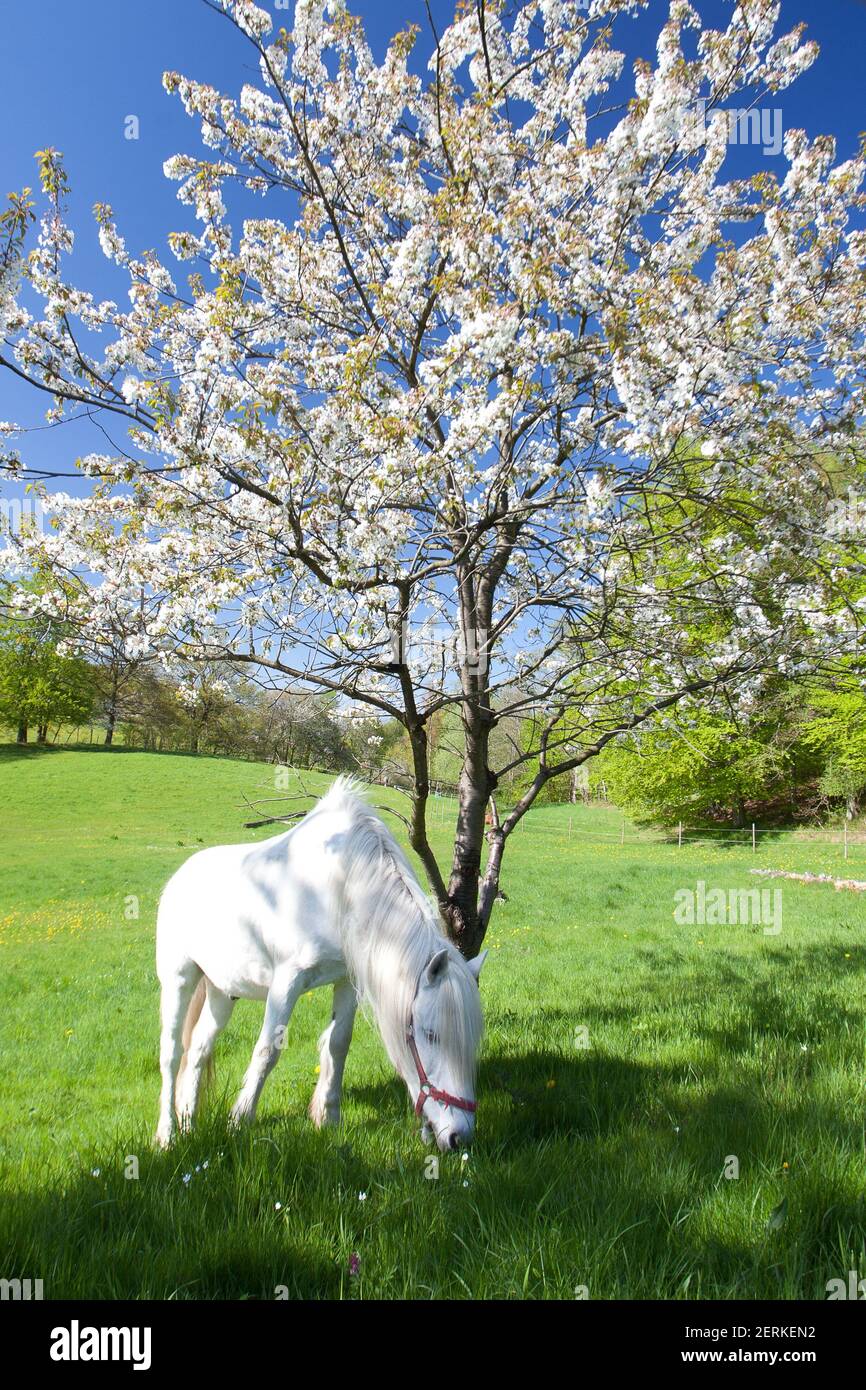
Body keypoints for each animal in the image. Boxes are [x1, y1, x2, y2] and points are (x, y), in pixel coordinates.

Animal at [154, 776, 486, 1153]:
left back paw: (188, 1123)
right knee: (171, 1054)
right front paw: (240, 1120)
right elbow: (267, 1050)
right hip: (179, 979)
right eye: (431, 1034)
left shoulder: (346, 980)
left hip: (222, 992)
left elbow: (337, 1044)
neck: (340, 887)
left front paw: (328, 1118)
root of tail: (179, 876)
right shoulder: (287, 981)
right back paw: (167, 1134)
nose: (460, 1136)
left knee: (197, 1050)